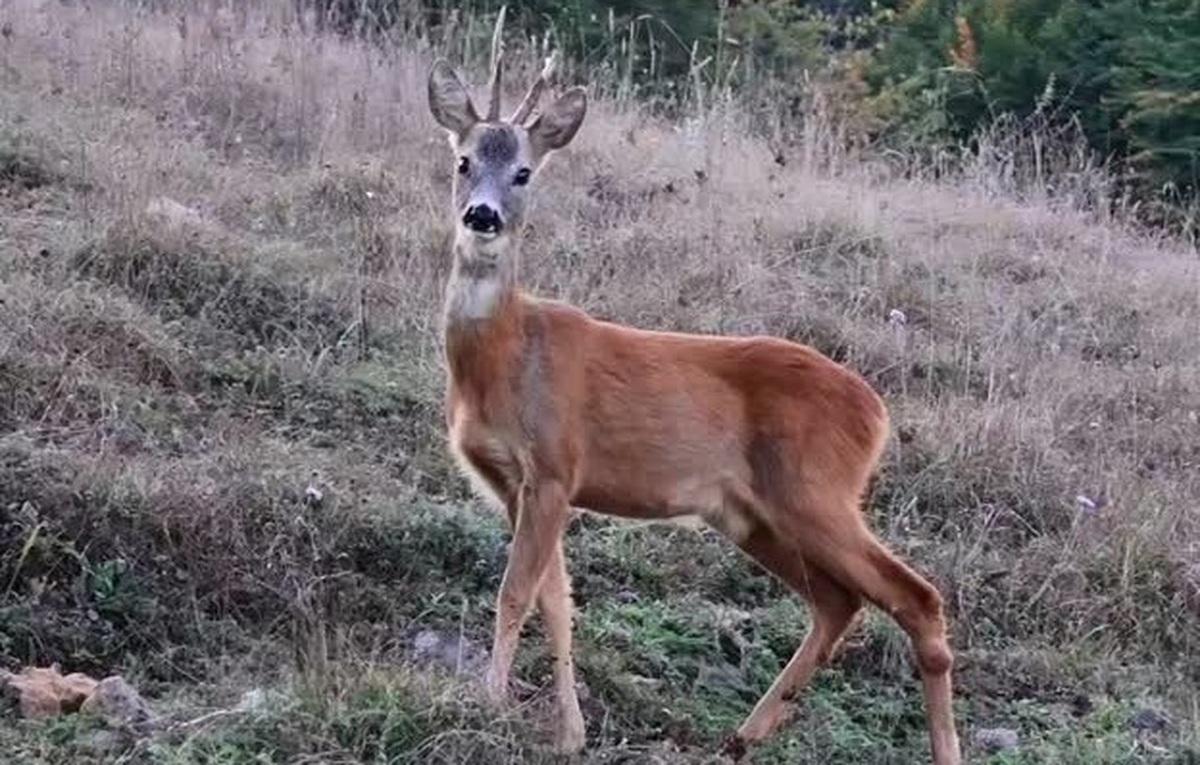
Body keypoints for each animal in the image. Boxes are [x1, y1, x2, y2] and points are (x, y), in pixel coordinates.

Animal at [427, 8, 960, 762]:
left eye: (525, 171)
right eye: (464, 160)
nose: (483, 216)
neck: (504, 357)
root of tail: (878, 411)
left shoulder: (556, 466)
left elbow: (516, 592)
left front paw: (488, 703)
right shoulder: (512, 481)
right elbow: (557, 600)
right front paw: (570, 732)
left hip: (816, 491)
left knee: (915, 596)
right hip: (751, 513)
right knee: (838, 602)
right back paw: (743, 735)